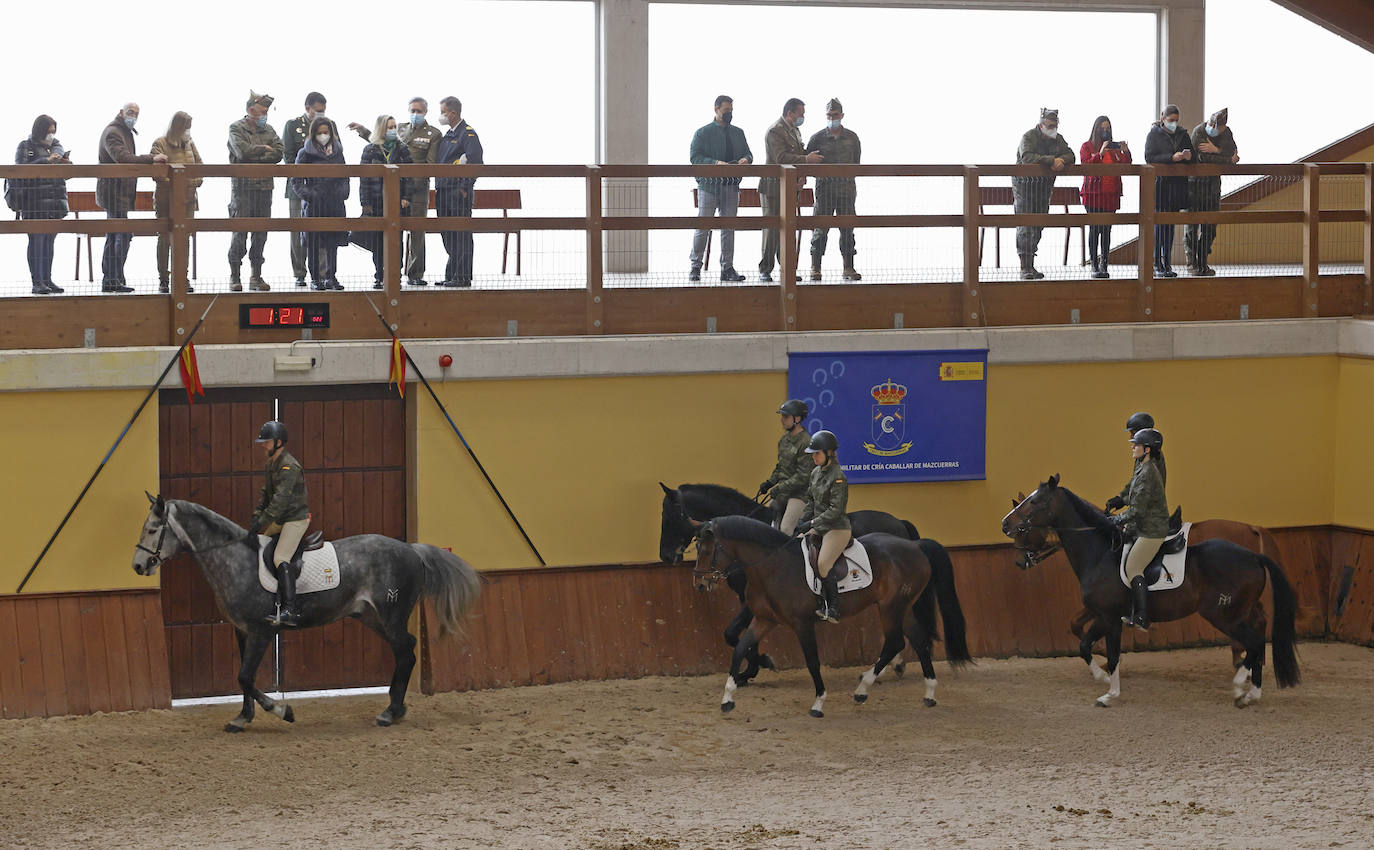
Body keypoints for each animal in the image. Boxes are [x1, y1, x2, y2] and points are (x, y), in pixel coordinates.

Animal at [133, 494, 478, 730]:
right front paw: (243, 718)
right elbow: (243, 678)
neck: (234, 560)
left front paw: (281, 711)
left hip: (390, 616)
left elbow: (245, 676)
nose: (138, 566)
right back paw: (395, 707)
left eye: (152, 529)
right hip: (372, 617)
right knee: (405, 650)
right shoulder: (242, 630)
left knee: (405, 651)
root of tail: (411, 550)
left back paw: (391, 711)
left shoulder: (261, 632)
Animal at [656, 486, 923, 683]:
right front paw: (751, 669)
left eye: (669, 517)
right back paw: (893, 666)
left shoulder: (751, 601)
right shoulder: (752, 599)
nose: (666, 556)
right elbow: (741, 635)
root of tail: (899, 521)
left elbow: (731, 634)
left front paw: (757, 666)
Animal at [692, 516, 972, 719]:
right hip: (902, 608)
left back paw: (862, 690)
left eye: (707, 550)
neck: (773, 566)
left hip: (891, 608)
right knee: (918, 640)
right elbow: (740, 647)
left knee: (895, 642)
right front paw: (728, 698)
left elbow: (812, 662)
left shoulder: (802, 624)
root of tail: (915, 546)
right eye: (697, 548)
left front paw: (818, 703)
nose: (700, 584)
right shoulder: (764, 620)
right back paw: (929, 693)